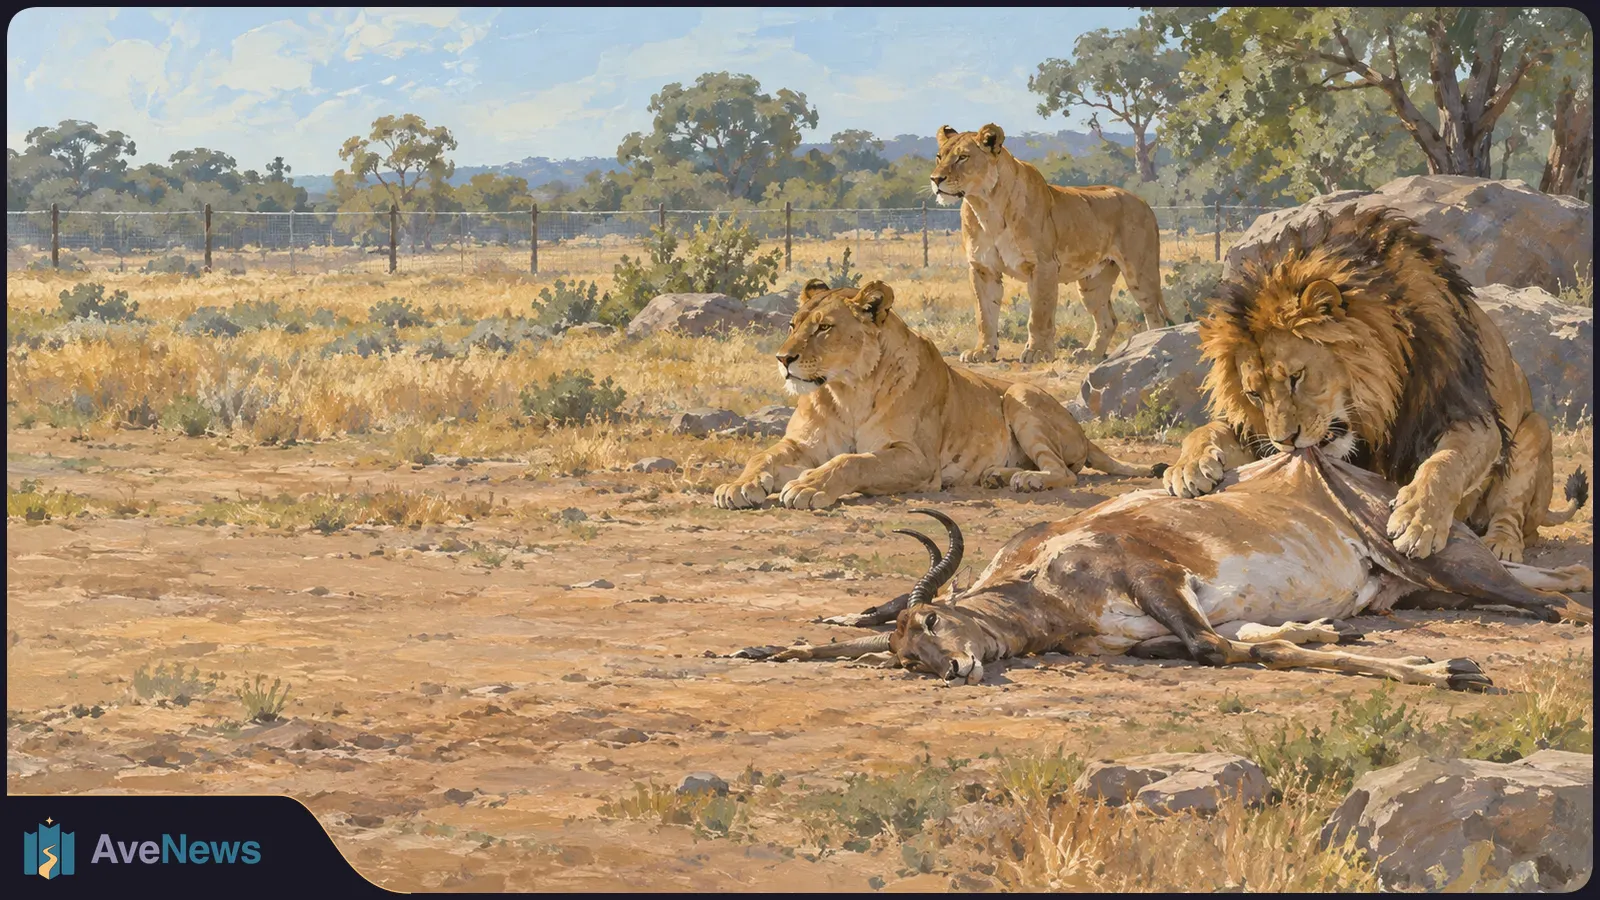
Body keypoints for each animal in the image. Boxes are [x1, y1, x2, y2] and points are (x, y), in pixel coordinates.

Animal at [713, 278, 1164, 511]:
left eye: (824, 327)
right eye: (793, 324)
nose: (782, 358)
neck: (846, 390)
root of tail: (1084, 434)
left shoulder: (918, 460)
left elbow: (853, 461)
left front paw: (808, 486)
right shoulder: (801, 444)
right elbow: (761, 456)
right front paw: (736, 487)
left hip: (1020, 394)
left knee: (1065, 472)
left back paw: (1026, 479)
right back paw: (997, 475)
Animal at [929, 123, 1169, 364]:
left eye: (963, 157)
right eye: (939, 157)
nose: (935, 179)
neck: (986, 206)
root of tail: (1143, 201)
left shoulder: (1043, 265)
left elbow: (1039, 314)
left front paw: (1037, 352)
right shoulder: (982, 268)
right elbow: (984, 314)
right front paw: (983, 351)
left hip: (1140, 273)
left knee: (1156, 316)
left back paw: (1151, 347)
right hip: (1092, 283)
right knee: (1108, 320)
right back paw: (1089, 354)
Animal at [1164, 204, 1589, 563]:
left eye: (1297, 377)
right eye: (1254, 394)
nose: (1286, 441)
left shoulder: (1472, 417)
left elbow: (1445, 463)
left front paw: (1418, 521)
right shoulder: (1258, 436)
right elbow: (1209, 430)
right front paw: (1187, 467)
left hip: (1534, 432)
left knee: (1514, 517)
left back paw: (1501, 545)